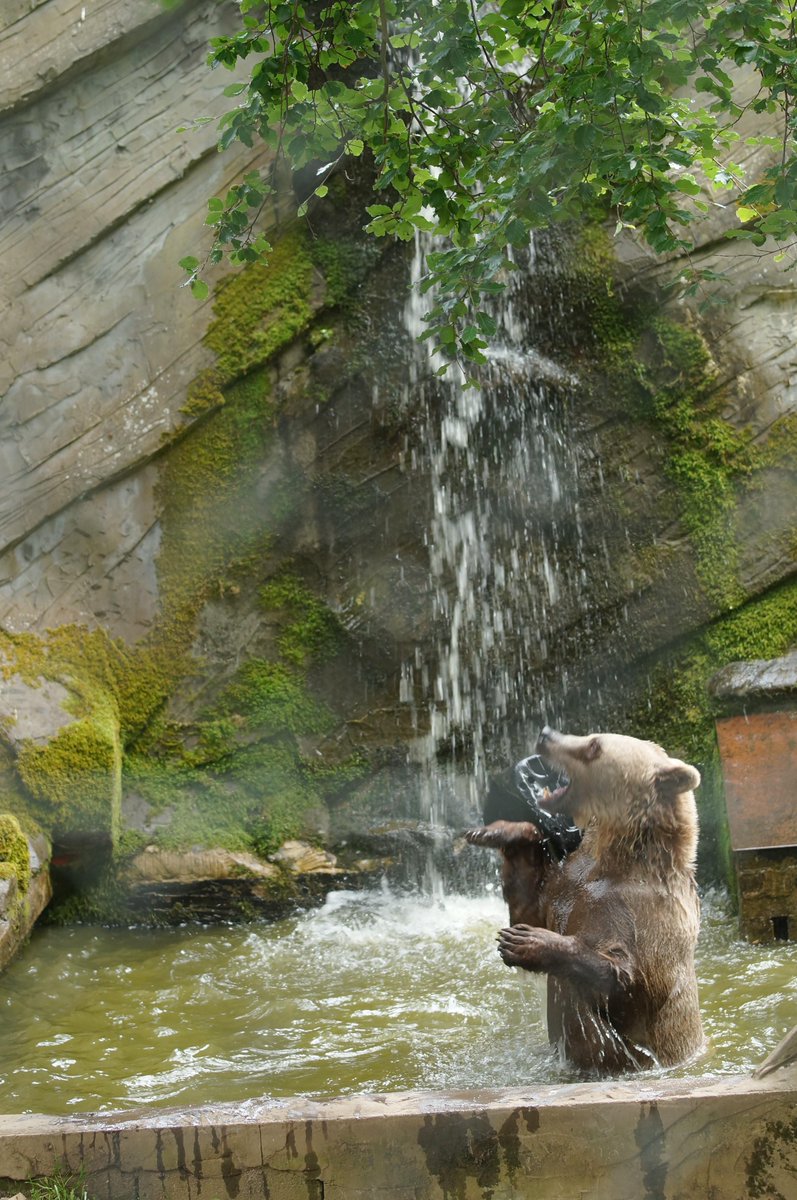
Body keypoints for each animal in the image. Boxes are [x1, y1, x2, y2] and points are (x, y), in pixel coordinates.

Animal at [467, 726, 704, 1074]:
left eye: (594, 745)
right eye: (593, 735)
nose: (546, 733)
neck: (616, 860)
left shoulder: (647, 916)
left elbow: (630, 985)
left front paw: (524, 942)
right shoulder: (571, 882)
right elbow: (528, 908)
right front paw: (499, 831)